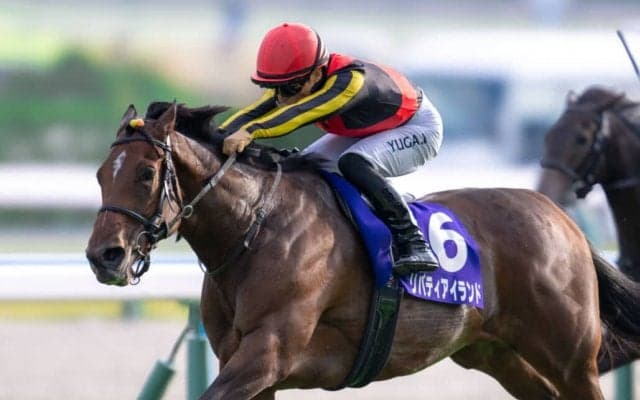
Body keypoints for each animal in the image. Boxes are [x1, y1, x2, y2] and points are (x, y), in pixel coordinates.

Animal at [86, 101, 640, 400]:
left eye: (146, 173)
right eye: (99, 175)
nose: (103, 256)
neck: (254, 229)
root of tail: (562, 219)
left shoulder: (269, 351)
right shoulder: (247, 365)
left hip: (571, 357)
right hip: (495, 352)